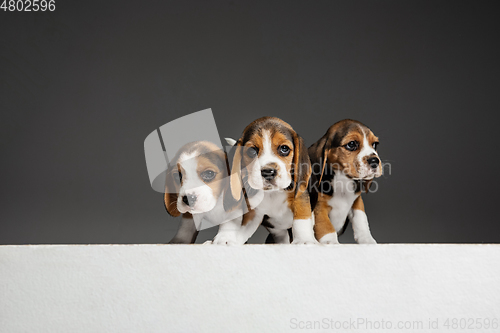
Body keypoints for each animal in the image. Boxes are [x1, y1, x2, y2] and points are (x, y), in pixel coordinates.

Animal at [213, 116, 318, 244]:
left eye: (284, 148)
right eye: (251, 151)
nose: (268, 172)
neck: (272, 193)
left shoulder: (300, 197)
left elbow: (301, 219)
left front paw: (304, 240)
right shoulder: (254, 214)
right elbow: (241, 231)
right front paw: (226, 239)